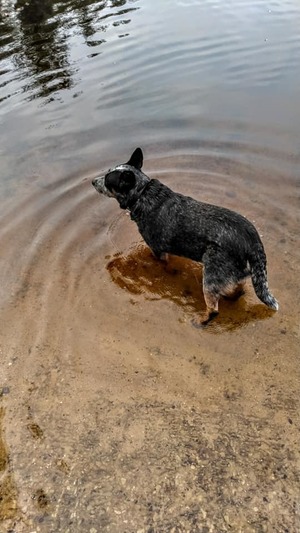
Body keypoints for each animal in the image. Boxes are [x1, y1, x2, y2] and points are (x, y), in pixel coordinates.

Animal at [92, 147, 278, 324]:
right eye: (107, 172)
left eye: (108, 181)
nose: (93, 181)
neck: (143, 193)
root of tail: (252, 238)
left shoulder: (157, 249)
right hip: (235, 273)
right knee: (238, 289)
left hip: (211, 276)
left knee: (214, 309)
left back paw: (200, 321)